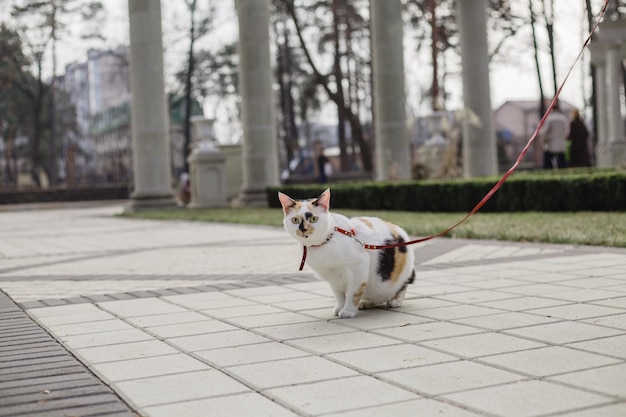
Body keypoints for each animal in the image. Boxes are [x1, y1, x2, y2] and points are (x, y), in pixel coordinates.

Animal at [278, 188, 414, 318]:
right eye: (295, 220)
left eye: (313, 219)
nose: (303, 229)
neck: (325, 242)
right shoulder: (333, 277)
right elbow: (339, 294)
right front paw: (339, 307)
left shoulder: (358, 267)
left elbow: (352, 293)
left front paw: (348, 311)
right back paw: (366, 303)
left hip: (402, 274)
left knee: (403, 286)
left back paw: (395, 301)